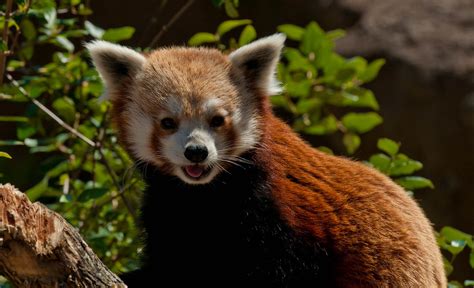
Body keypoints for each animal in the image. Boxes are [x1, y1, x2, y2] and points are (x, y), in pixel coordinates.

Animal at [87, 35, 446, 286]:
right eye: (167, 123)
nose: (197, 152)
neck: (206, 192)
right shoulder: (171, 205)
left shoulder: (280, 210)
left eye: (217, 120)